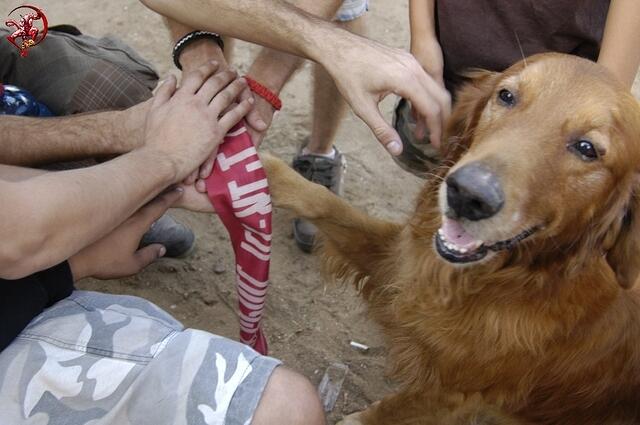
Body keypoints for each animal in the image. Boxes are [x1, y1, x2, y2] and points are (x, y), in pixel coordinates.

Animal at [262, 53, 640, 424]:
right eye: (506, 96)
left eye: (587, 148)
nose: (468, 194)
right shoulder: (399, 262)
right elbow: (330, 205)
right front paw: (267, 171)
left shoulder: (451, 392)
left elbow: (389, 410)